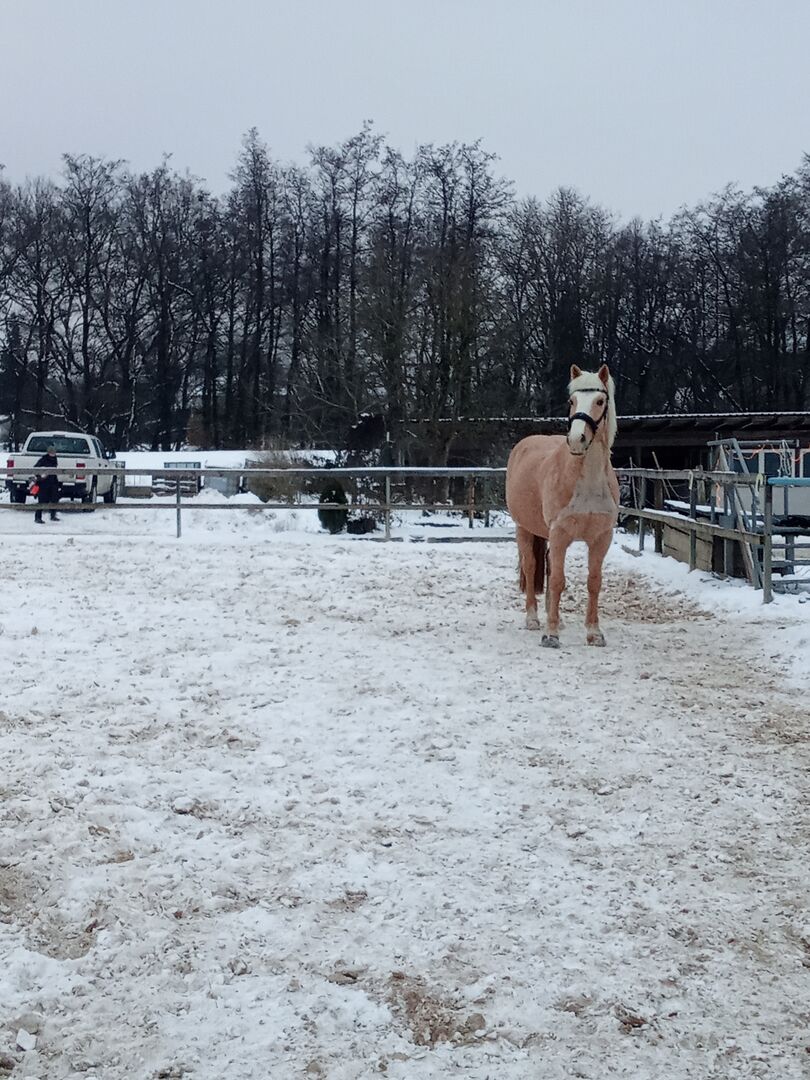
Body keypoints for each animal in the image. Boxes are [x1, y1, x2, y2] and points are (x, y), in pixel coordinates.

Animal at [505, 364, 619, 648]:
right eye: (572, 401)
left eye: (600, 401)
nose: (577, 439)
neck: (587, 481)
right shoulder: (559, 534)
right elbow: (557, 580)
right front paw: (551, 634)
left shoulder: (601, 538)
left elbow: (594, 582)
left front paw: (594, 633)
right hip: (524, 528)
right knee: (532, 566)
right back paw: (534, 619)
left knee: (546, 566)